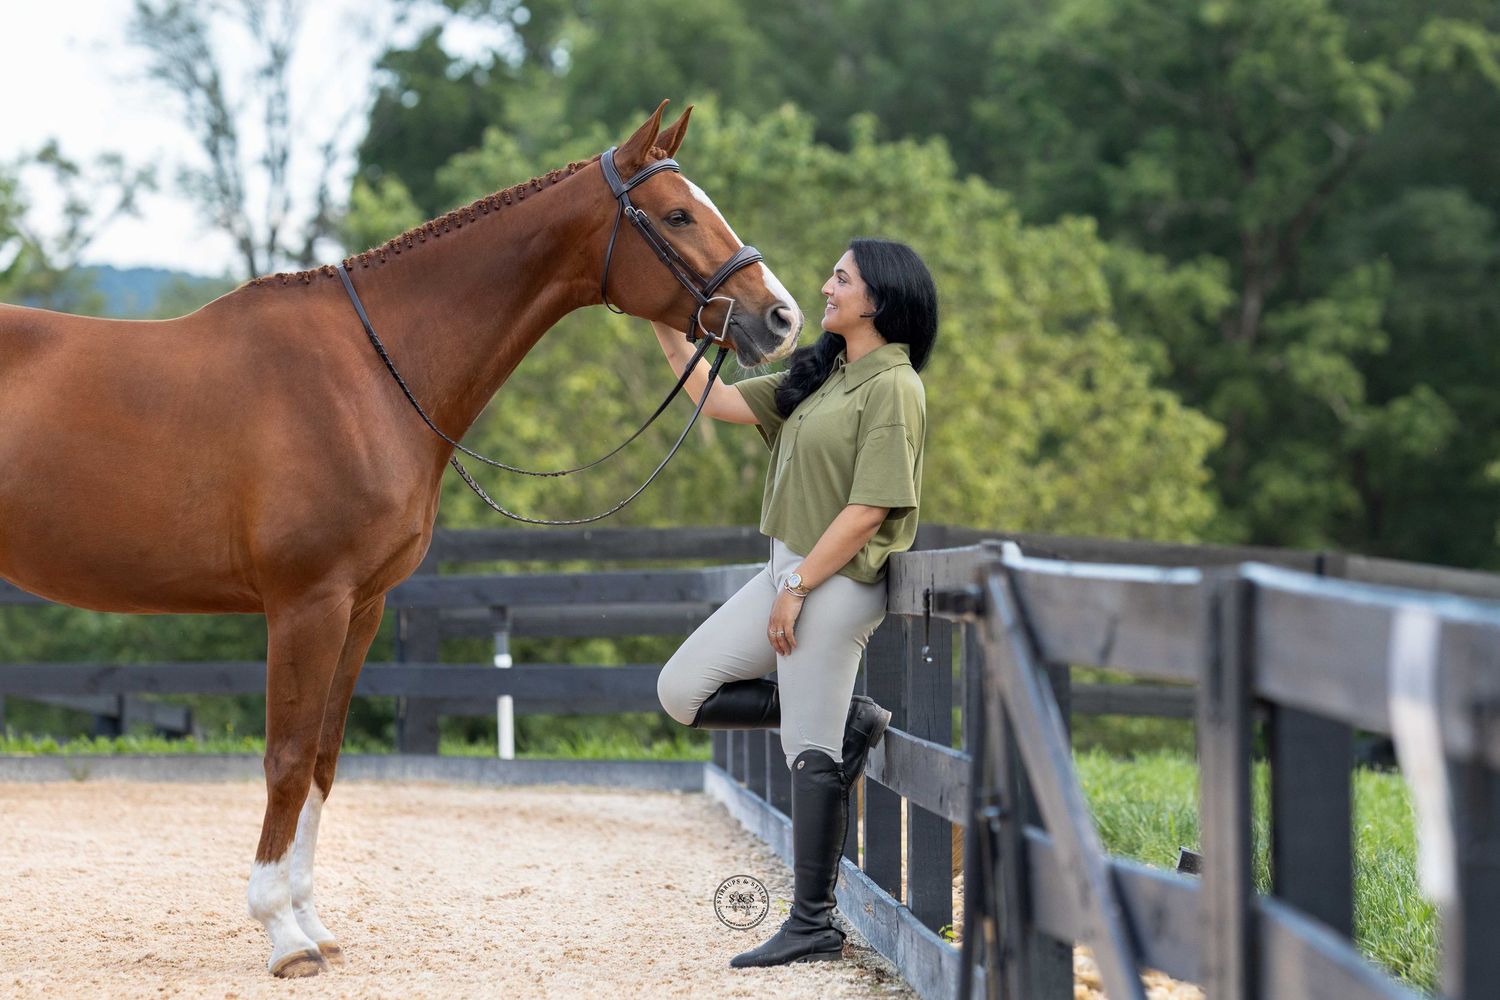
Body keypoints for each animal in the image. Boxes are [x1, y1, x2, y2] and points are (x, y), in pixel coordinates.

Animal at [0, 102, 802, 977]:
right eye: (678, 214)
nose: (781, 317)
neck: (369, 372)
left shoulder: (362, 607)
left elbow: (321, 761)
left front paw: (311, 922)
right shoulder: (307, 604)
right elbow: (286, 759)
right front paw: (282, 935)